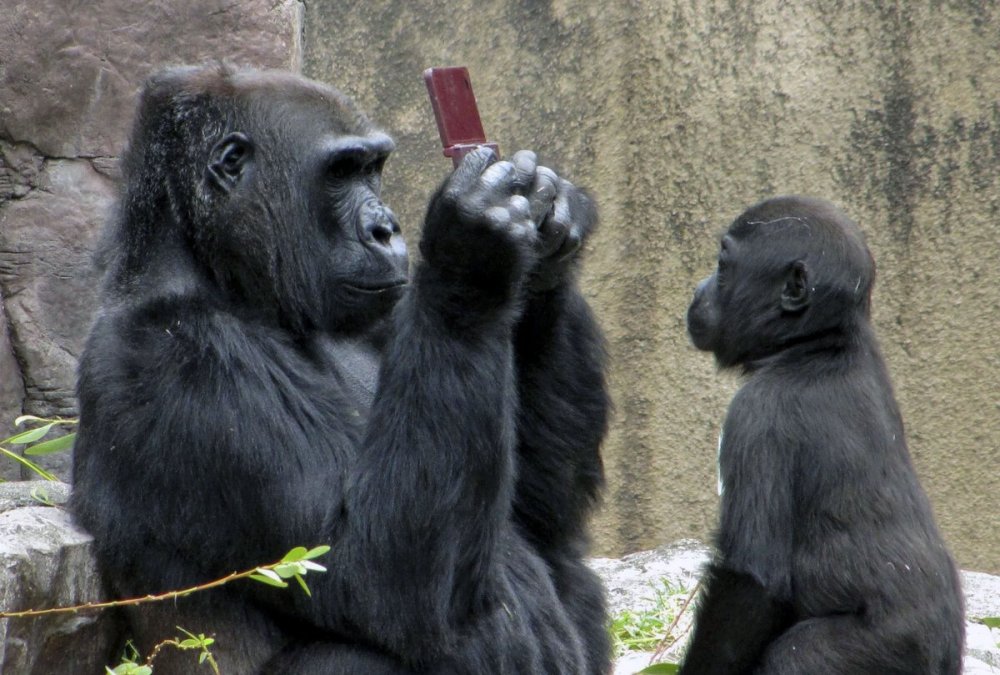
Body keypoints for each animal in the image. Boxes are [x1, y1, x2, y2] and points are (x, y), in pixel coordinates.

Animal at [70, 64, 608, 675]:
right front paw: (476, 247)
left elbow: (539, 518)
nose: (387, 229)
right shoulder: (180, 358)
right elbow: (377, 577)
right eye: (342, 171)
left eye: (372, 169)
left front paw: (550, 235)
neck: (222, 277)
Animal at [684, 195, 964, 675]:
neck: (814, 344)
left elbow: (751, 583)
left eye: (722, 267)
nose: (698, 291)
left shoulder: (755, 418)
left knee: (792, 659)